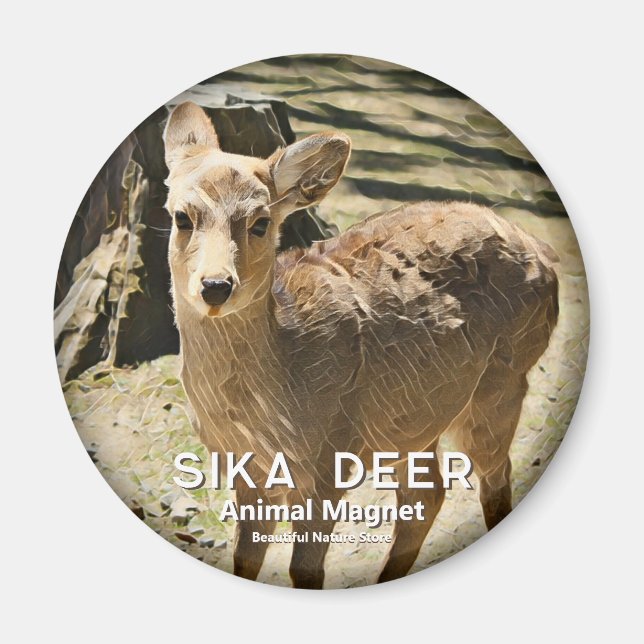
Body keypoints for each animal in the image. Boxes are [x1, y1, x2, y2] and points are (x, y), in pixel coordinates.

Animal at [162, 101, 559, 588]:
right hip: (414, 413)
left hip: (503, 379)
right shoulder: (244, 468)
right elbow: (245, 558)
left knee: (494, 474)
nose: (216, 285)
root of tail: (544, 254)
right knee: (429, 492)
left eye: (261, 222)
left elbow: (304, 569)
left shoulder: (331, 454)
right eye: (182, 216)